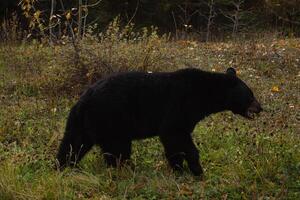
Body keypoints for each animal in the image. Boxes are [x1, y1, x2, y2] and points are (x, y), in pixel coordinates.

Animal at [56, 68, 262, 176]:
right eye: (250, 95)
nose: (261, 108)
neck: (202, 95)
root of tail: (84, 99)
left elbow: (176, 142)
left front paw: (181, 168)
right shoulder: (178, 106)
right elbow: (176, 136)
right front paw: (194, 170)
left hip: (82, 122)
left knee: (73, 143)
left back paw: (64, 166)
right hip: (112, 119)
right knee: (117, 149)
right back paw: (126, 169)